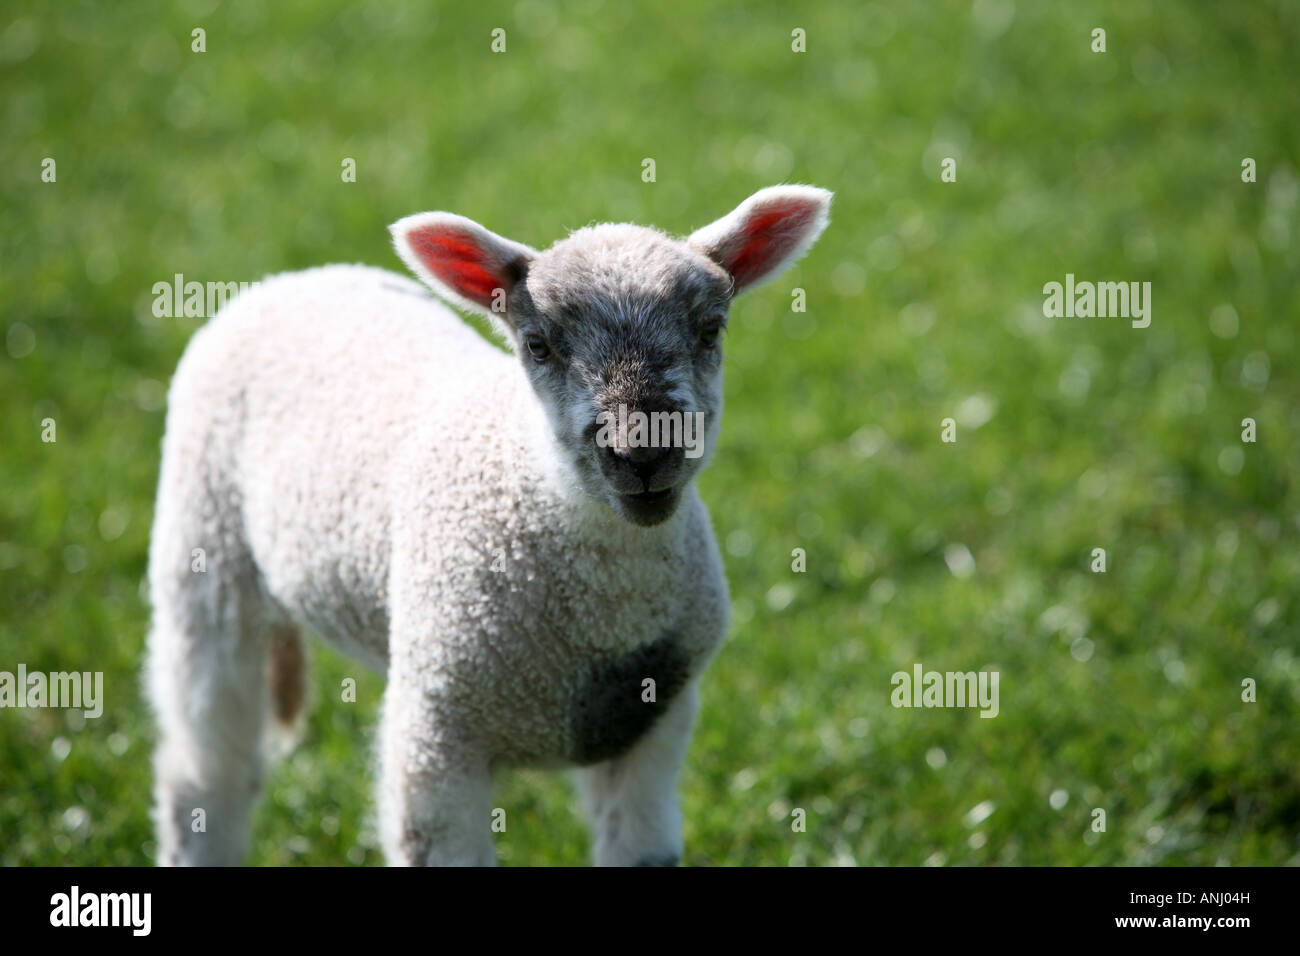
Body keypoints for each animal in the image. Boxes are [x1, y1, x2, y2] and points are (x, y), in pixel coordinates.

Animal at [145, 184, 832, 866]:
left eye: (710, 329)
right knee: (205, 772)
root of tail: (301, 277)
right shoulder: (436, 737)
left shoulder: (654, 721)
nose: (642, 451)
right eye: (538, 344)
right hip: (203, 551)